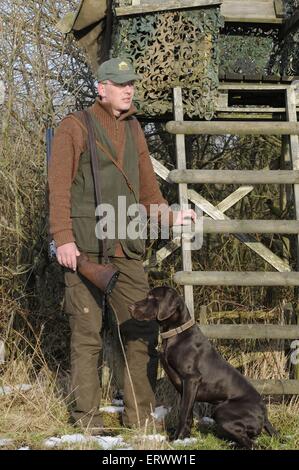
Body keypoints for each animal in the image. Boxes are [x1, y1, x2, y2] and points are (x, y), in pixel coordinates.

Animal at [130, 284, 278, 450]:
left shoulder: (191, 379)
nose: (130, 307)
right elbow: (188, 414)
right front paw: (184, 438)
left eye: (152, 297)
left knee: (253, 444)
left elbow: (183, 413)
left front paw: (177, 439)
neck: (176, 333)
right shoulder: (185, 388)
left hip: (221, 411)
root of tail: (265, 416)